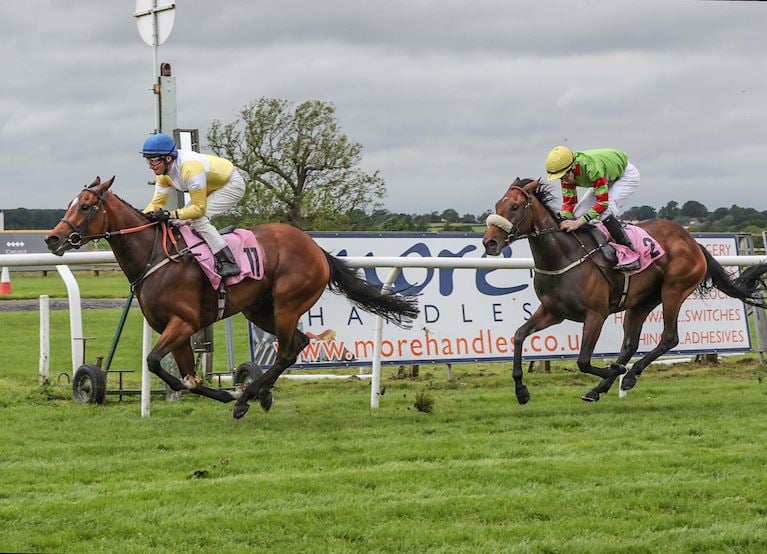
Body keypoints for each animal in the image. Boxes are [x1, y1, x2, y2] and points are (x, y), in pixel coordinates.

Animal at [45, 178, 420, 418]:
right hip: (259, 309)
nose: (52, 239)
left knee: (287, 351)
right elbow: (187, 378)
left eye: (86, 206)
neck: (155, 257)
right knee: (297, 344)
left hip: (287, 303)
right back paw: (258, 393)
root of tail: (315, 248)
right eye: (70, 205)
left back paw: (247, 396)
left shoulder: (184, 323)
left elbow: (154, 362)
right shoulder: (173, 329)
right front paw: (225, 392)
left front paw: (231, 394)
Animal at [486, 179, 767, 404]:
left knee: (669, 338)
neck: (564, 256)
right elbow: (519, 335)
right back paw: (600, 388)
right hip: (641, 302)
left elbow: (583, 360)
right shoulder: (553, 311)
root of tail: (693, 242)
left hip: (673, 291)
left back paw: (628, 375)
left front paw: (616, 371)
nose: (489, 242)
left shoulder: (595, 314)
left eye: (514, 207)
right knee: (630, 344)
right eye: (497, 206)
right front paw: (521, 390)